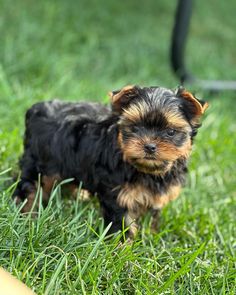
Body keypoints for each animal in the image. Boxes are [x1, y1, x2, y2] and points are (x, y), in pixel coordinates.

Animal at [13, 85, 208, 238]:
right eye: (135, 127)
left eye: (170, 132)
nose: (150, 146)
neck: (147, 170)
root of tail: (36, 109)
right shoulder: (118, 194)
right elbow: (123, 223)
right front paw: (122, 249)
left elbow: (151, 216)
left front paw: (151, 235)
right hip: (39, 163)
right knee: (30, 186)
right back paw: (27, 213)